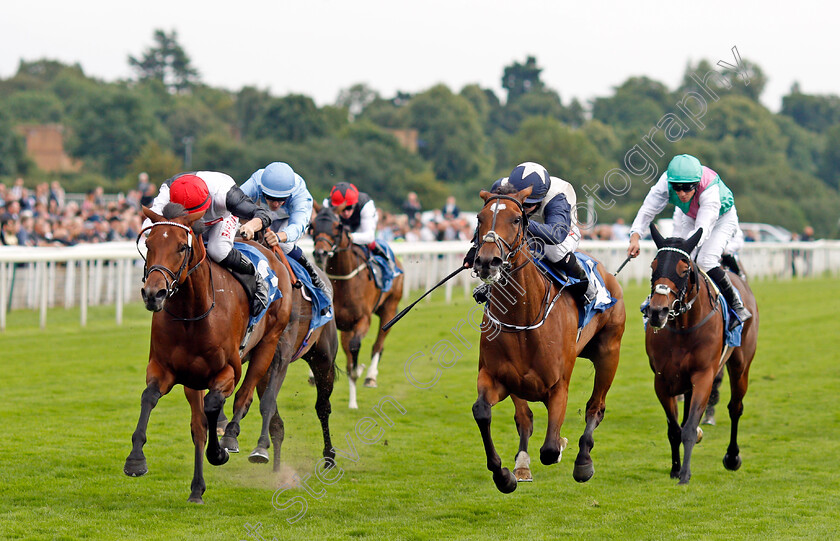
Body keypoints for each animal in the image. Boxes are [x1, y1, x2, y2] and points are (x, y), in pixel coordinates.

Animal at [123, 204, 296, 502]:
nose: (153, 294)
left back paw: (233, 437)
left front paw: (219, 452)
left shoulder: (227, 371)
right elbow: (151, 399)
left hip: (268, 343)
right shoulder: (167, 370)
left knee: (245, 395)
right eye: (148, 243)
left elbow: (214, 404)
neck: (192, 314)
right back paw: (197, 487)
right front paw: (136, 460)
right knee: (199, 424)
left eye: (182, 247)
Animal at [312, 207, 404, 410]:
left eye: (336, 226)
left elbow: (355, 347)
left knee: (378, 345)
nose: (320, 253)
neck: (343, 281)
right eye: (312, 225)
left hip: (390, 309)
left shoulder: (363, 320)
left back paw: (369, 377)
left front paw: (357, 373)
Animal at [470, 187, 628, 494]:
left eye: (516, 219)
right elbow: (484, 411)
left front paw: (564, 447)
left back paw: (583, 461)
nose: (486, 261)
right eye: (479, 218)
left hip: (608, 353)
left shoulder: (557, 386)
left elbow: (551, 448)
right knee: (525, 419)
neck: (524, 315)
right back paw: (521, 465)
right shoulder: (498, 377)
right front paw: (504, 475)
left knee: (595, 407)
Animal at [644, 221, 760, 484]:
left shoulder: (704, 375)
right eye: (653, 266)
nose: (657, 311)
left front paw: (685, 474)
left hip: (741, 364)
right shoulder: (662, 380)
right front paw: (675, 469)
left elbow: (688, 428)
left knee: (735, 407)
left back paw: (732, 457)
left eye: (684, 269)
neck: (684, 327)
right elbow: (675, 428)